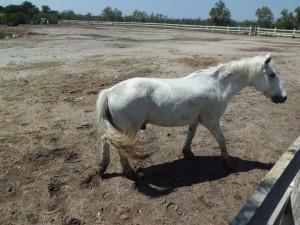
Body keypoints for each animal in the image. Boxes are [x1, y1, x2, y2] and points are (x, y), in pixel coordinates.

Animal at [97, 53, 288, 178]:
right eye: (272, 75)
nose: (284, 97)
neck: (218, 85)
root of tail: (111, 91)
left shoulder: (195, 120)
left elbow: (190, 135)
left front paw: (187, 152)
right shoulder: (211, 121)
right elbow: (222, 140)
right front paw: (228, 161)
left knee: (106, 140)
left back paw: (102, 167)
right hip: (129, 129)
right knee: (118, 146)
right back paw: (127, 171)